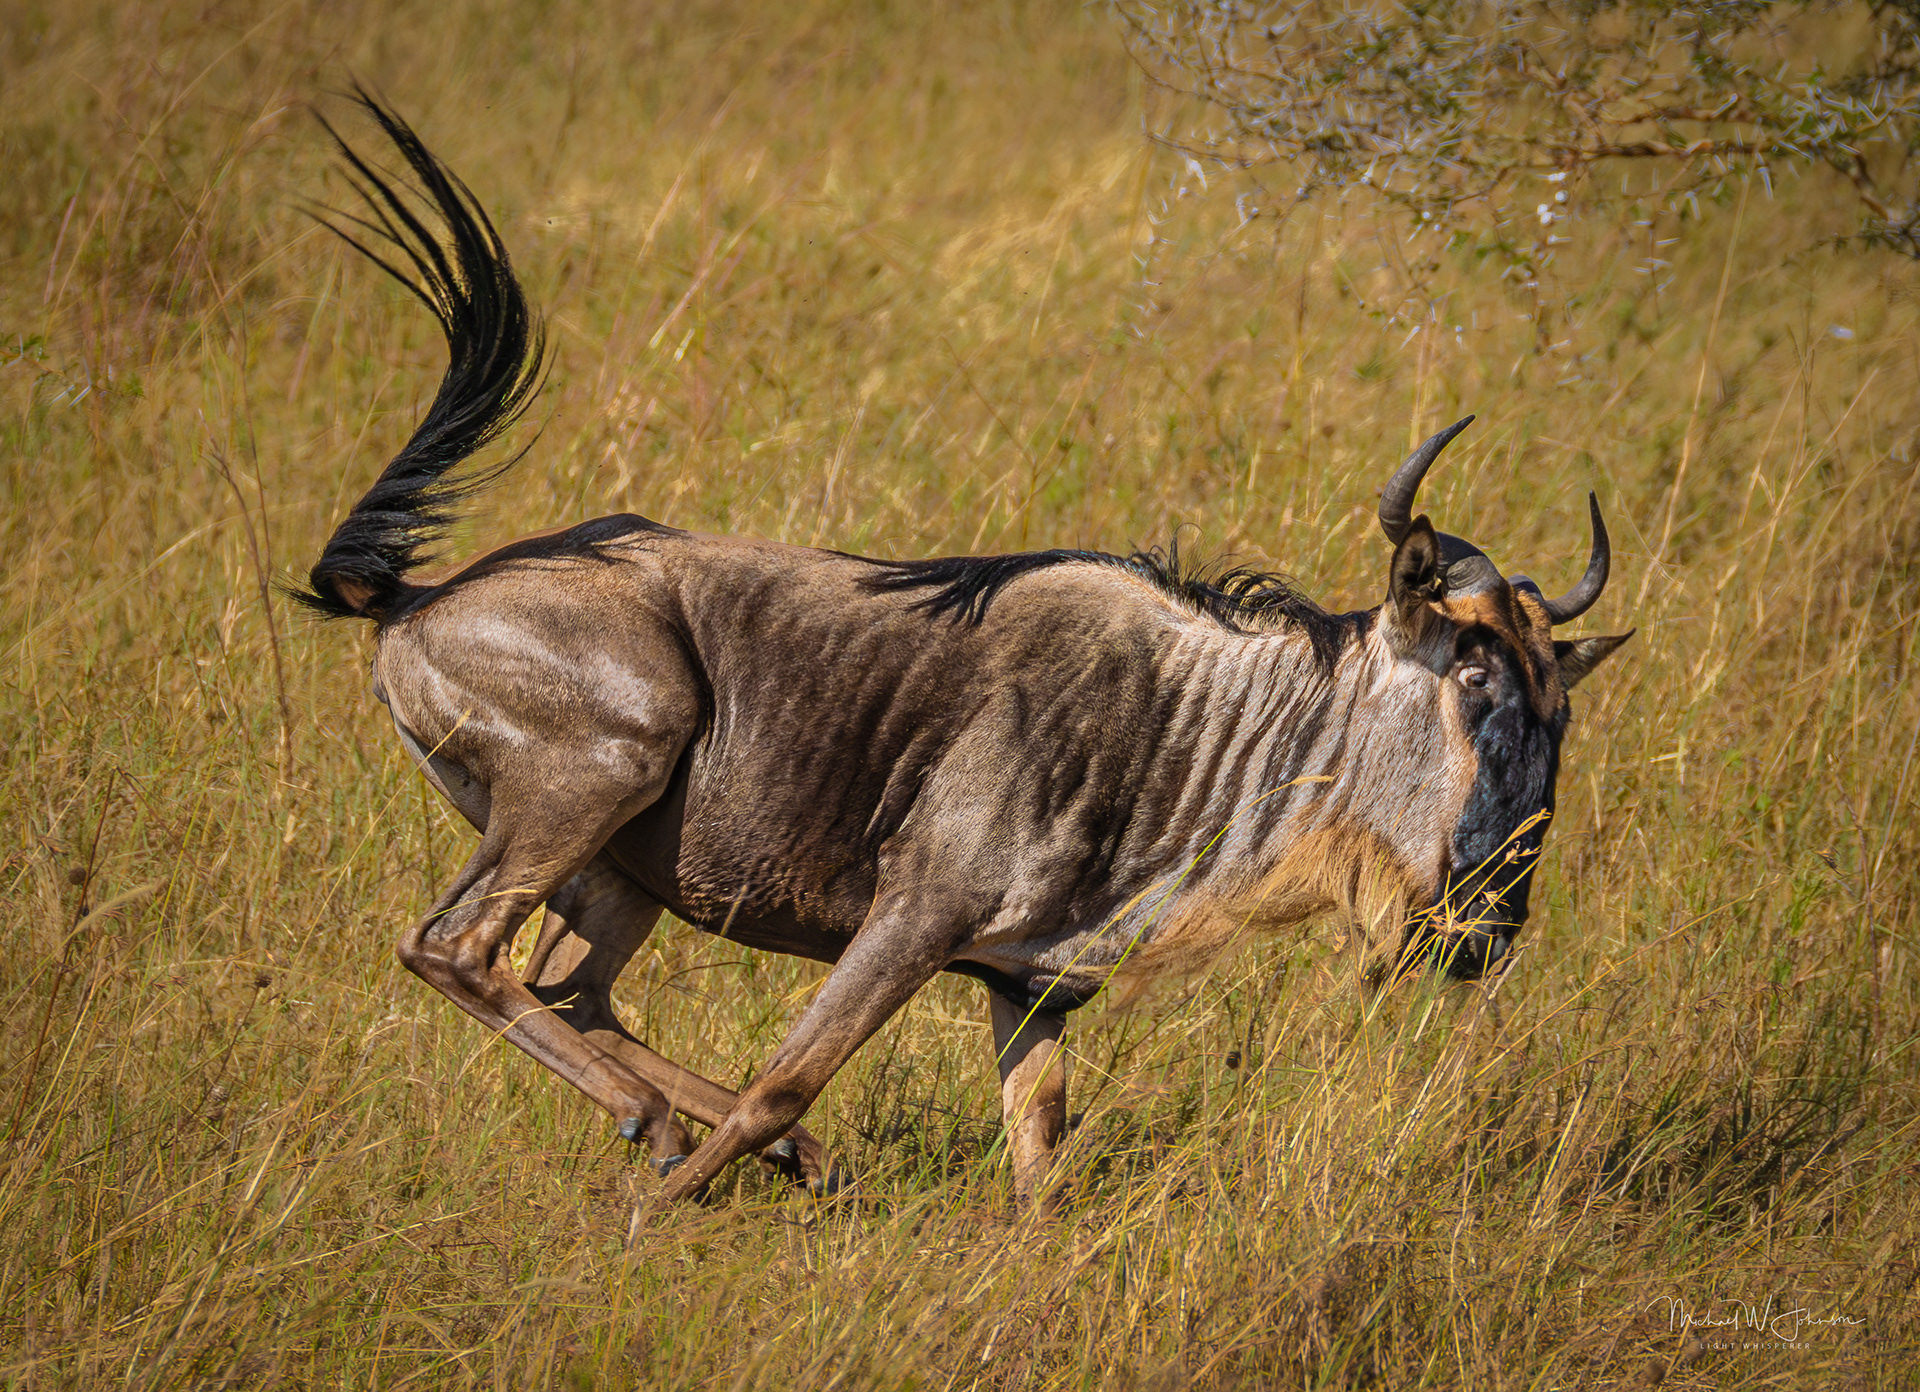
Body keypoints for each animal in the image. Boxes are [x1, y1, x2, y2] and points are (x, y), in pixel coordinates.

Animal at [298, 94, 1630, 1212]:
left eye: (1560, 710)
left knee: (572, 987)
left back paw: (757, 1148)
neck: (1185, 725)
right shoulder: (915, 913)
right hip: (606, 768)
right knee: (457, 947)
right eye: (1471, 678)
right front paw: (658, 1222)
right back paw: (674, 1137)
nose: (1489, 931)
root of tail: (419, 596)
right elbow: (788, 1075)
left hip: (623, 869)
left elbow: (1041, 1160)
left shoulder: (1029, 981)